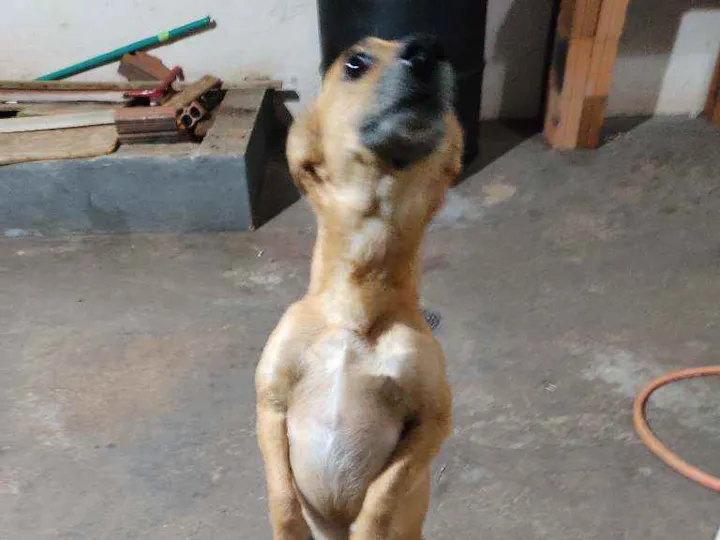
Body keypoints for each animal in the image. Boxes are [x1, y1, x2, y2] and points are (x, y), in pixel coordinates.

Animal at [255, 35, 463, 540]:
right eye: (355, 62)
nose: (429, 48)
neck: (355, 315)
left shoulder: (433, 421)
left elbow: (383, 495)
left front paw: (370, 524)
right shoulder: (270, 400)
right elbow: (281, 496)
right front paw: (287, 524)